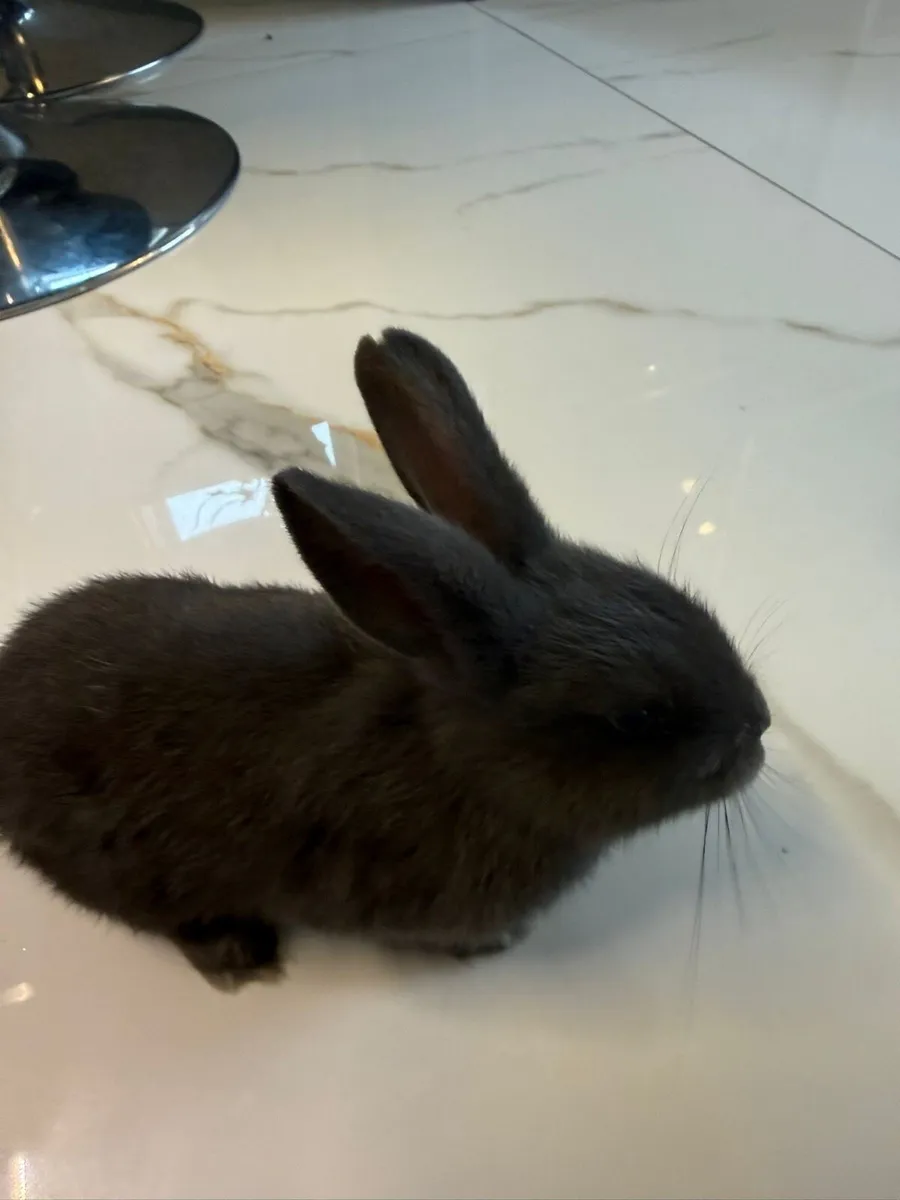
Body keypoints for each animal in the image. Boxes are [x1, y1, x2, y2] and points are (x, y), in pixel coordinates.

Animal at [0, 329, 769, 989]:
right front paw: (494, 944)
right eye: (632, 718)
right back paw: (238, 953)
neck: (465, 763)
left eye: (686, 605)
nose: (758, 728)